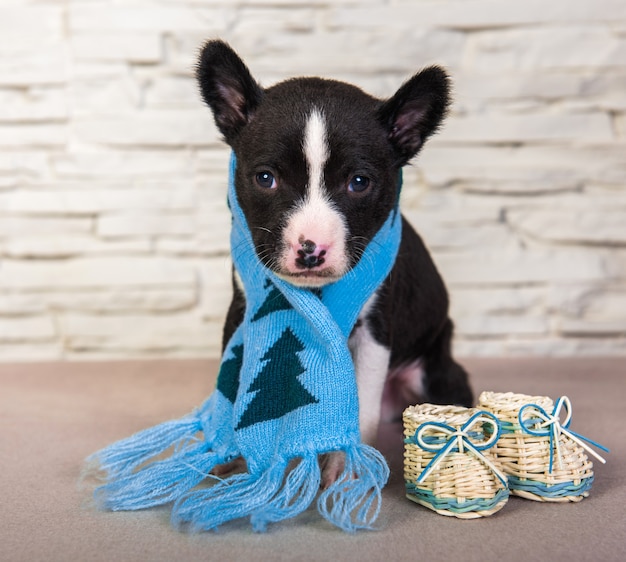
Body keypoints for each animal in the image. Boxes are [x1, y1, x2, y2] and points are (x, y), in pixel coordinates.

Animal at [197, 40, 470, 476]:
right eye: (265, 178)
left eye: (359, 183)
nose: (311, 249)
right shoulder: (242, 310)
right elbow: (238, 384)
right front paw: (237, 461)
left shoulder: (375, 333)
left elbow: (358, 413)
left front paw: (346, 473)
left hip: (436, 376)